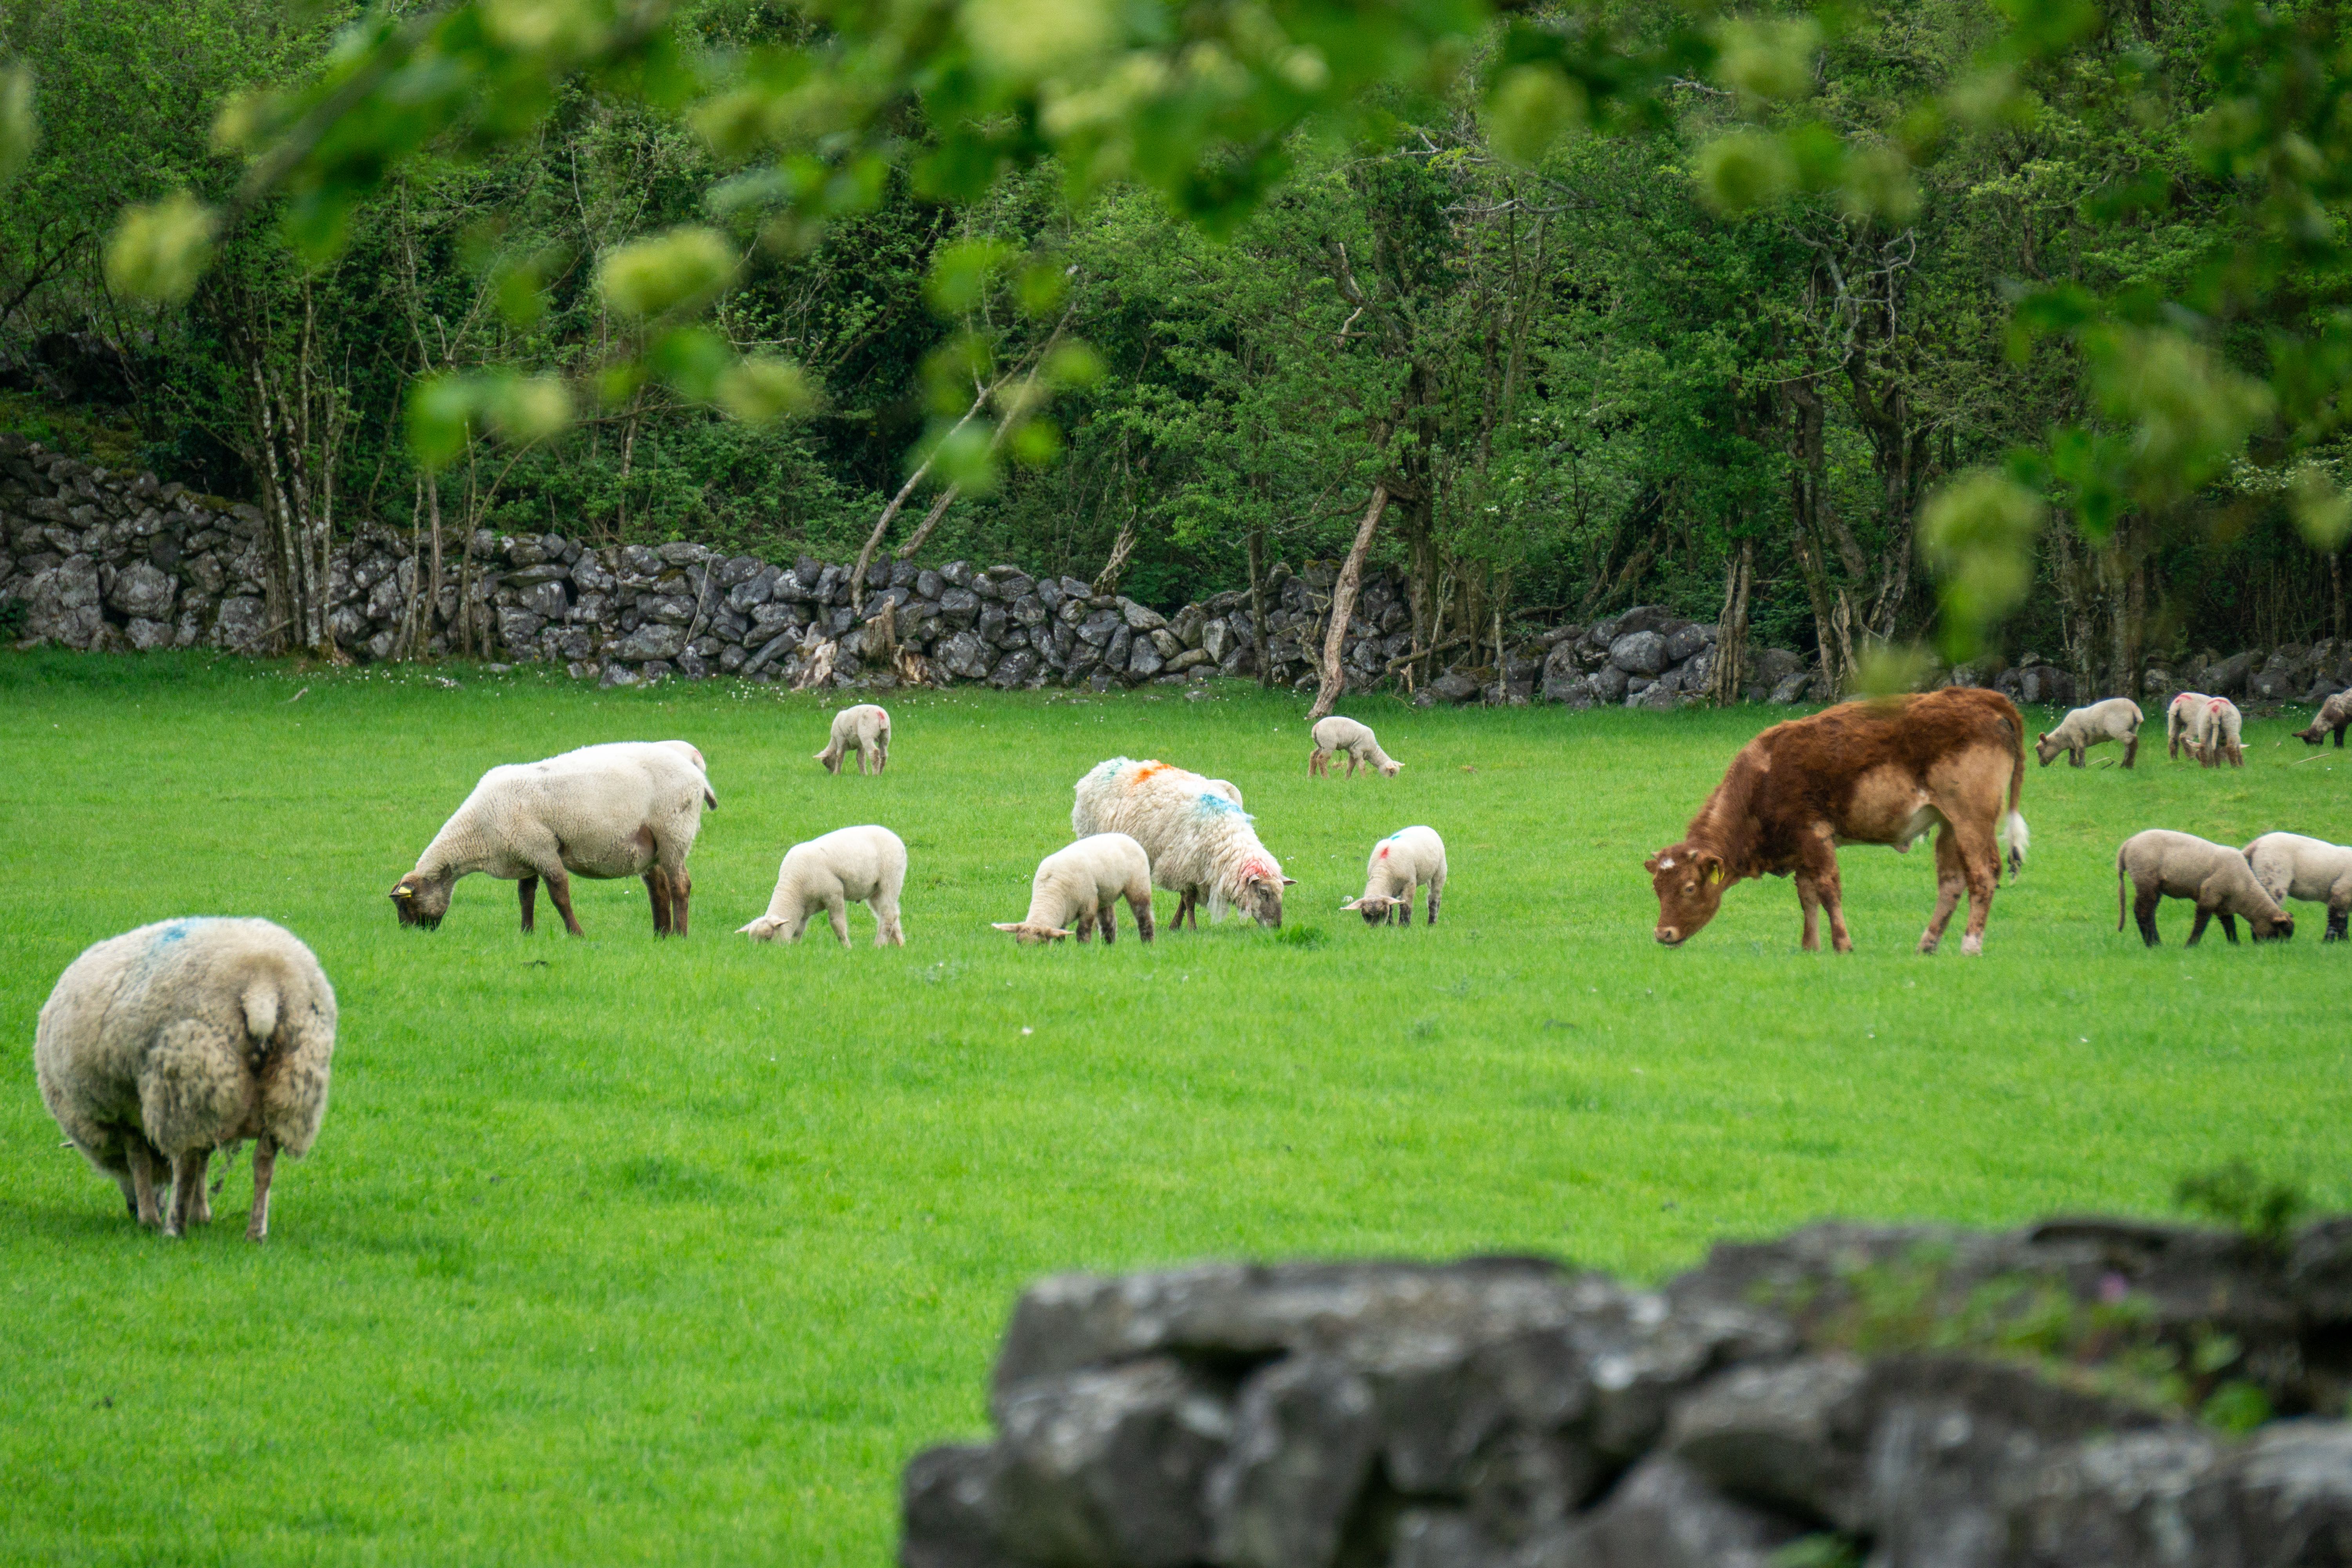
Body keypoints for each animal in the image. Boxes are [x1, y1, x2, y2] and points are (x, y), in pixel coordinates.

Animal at [1646, 687, 2030, 956]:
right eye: (1657, 889)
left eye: (1689, 888)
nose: (1663, 934)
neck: (1764, 777)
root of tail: (1984, 698)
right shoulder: (1800, 848)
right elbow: (1807, 895)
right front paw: (1810, 946)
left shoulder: (1815, 836)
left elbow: (1829, 889)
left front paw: (1842, 944)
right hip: (1948, 825)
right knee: (1951, 882)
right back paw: (1927, 946)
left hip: (1972, 821)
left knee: (1983, 874)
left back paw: (1970, 946)